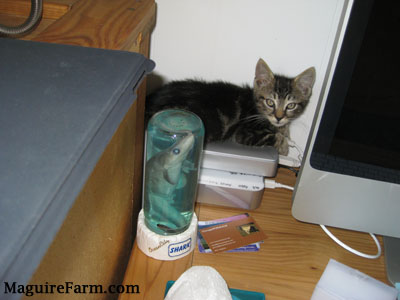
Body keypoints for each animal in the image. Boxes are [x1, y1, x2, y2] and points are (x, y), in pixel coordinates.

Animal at [146, 59, 316, 156]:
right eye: (270, 102)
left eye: (291, 105)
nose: (279, 117)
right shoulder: (245, 133)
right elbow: (274, 136)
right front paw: (284, 147)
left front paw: (285, 132)